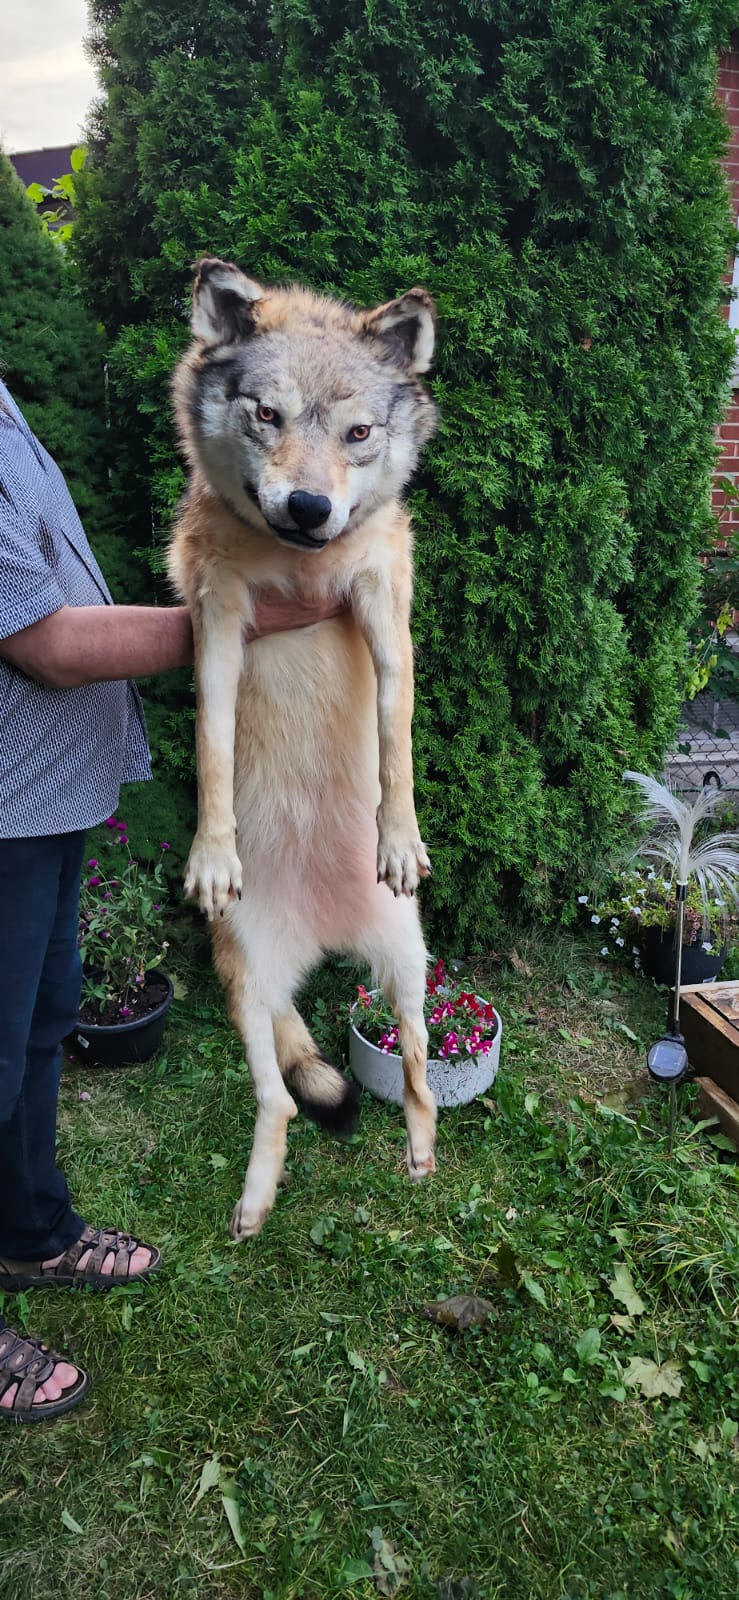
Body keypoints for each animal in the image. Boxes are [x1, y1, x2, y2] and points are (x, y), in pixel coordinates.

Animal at [168, 257, 438, 1238]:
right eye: (267, 415)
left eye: (357, 432)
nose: (311, 505)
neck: (303, 568)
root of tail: (324, 937)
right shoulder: (214, 631)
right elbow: (210, 746)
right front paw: (213, 854)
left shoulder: (386, 615)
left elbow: (398, 742)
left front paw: (398, 839)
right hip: (247, 986)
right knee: (280, 1099)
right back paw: (254, 1201)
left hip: (410, 970)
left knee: (418, 1076)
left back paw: (419, 1154)